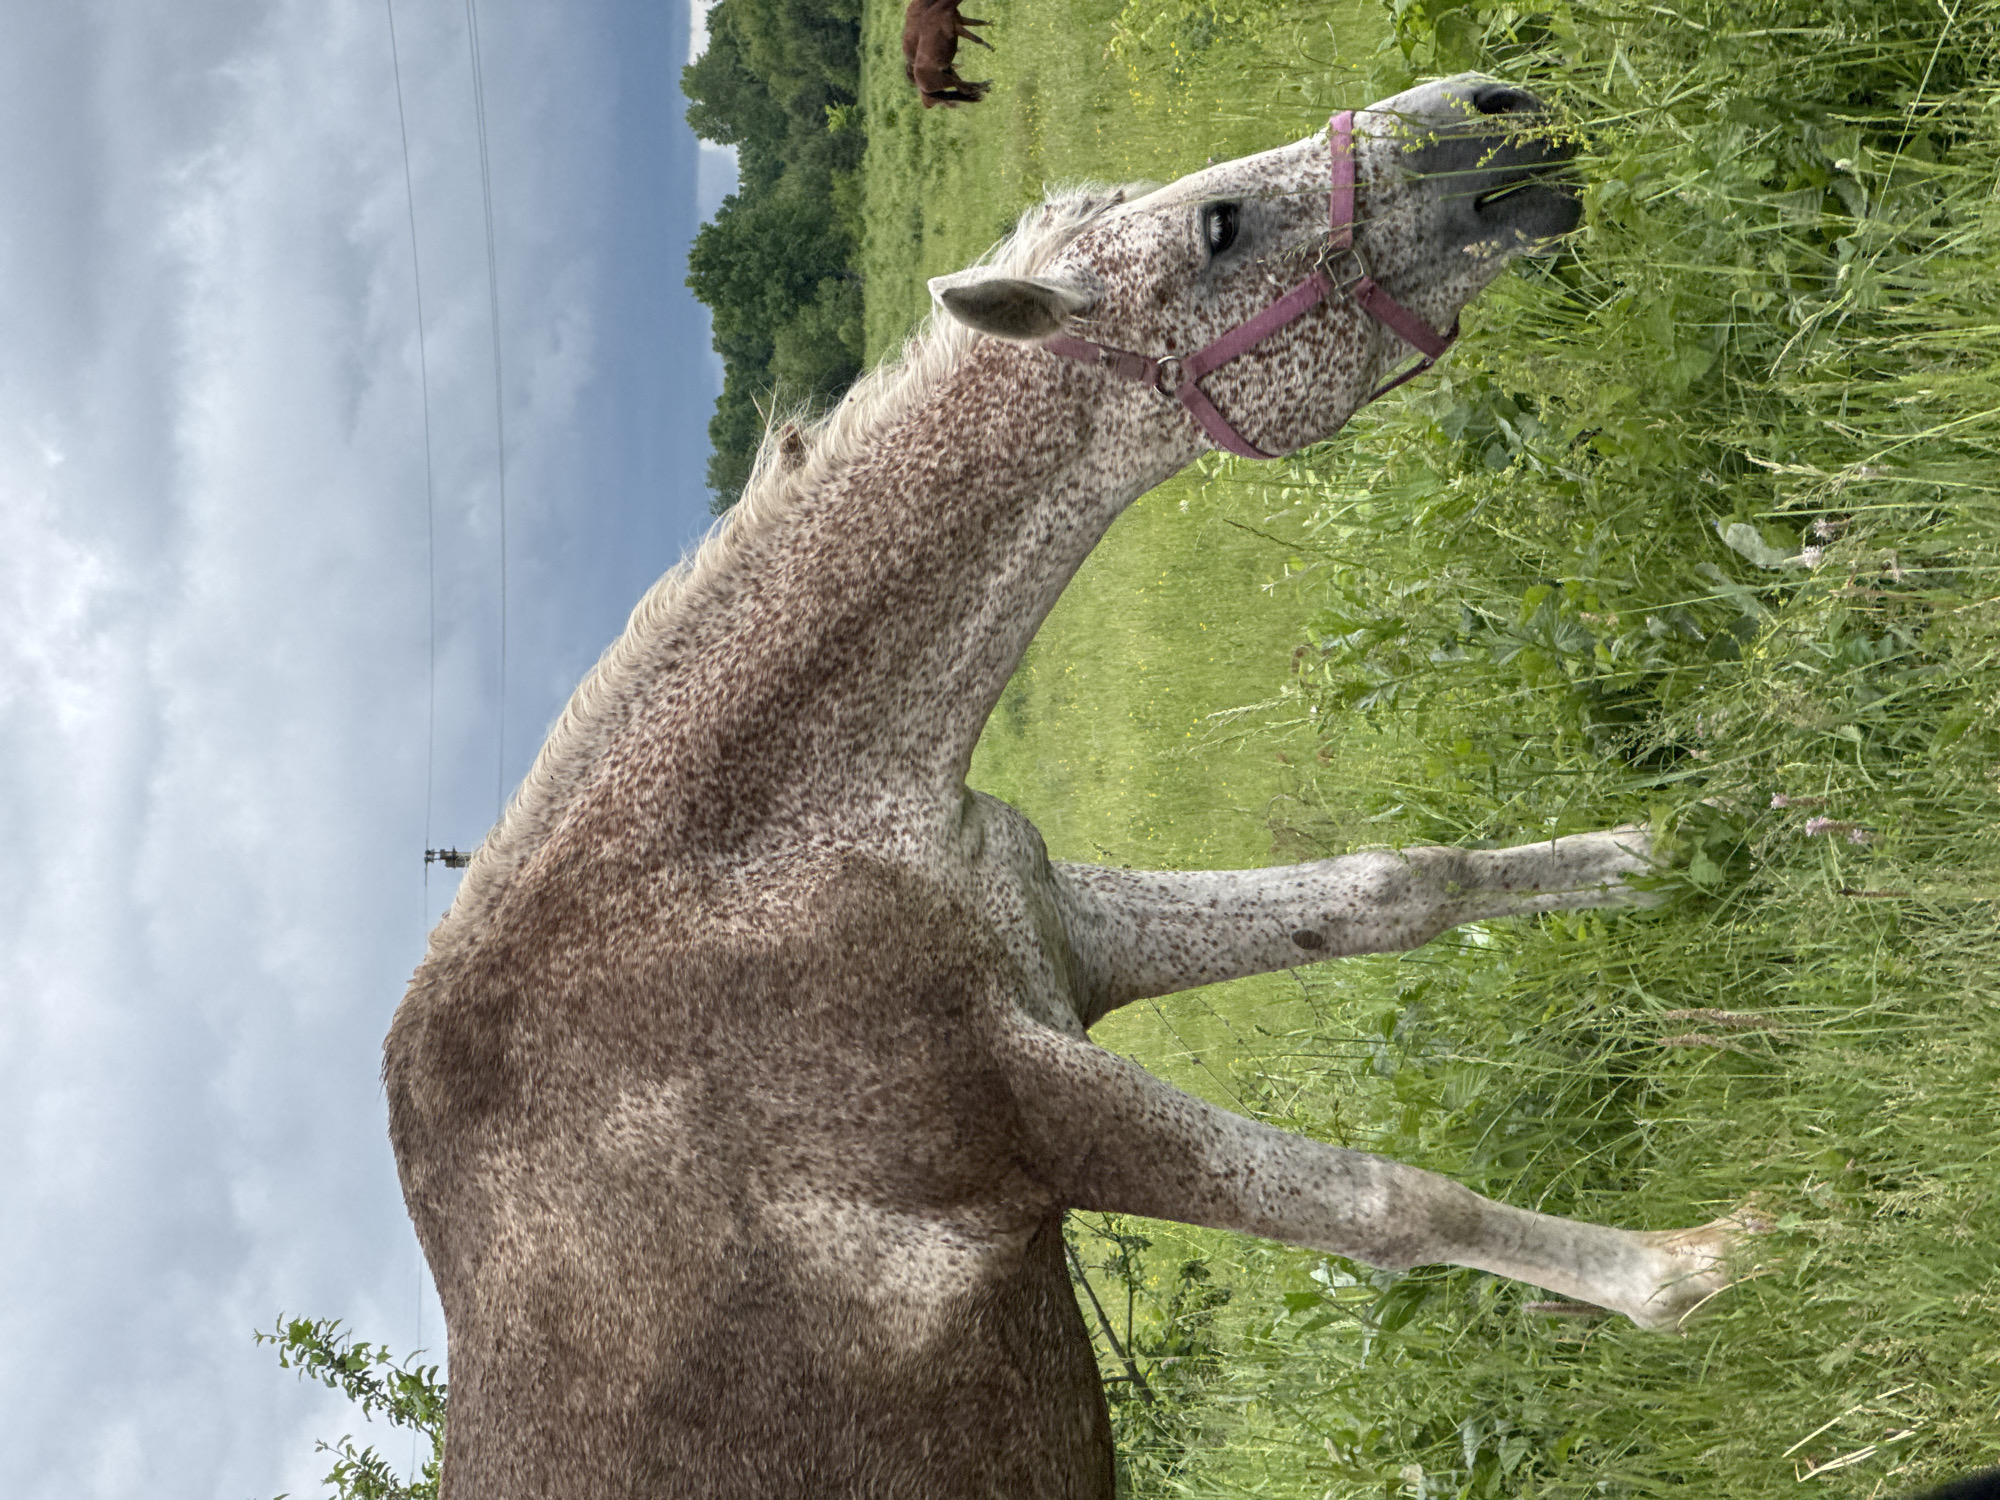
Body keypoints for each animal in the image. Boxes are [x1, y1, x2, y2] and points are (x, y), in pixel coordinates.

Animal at [385, 75, 1760, 1498]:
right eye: (1219, 228)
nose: (1486, 107)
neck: (728, 878)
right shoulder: (1020, 1112)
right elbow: (1387, 1204)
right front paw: (1697, 1266)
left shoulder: (1065, 941)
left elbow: (1395, 888)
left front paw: (1661, 850)